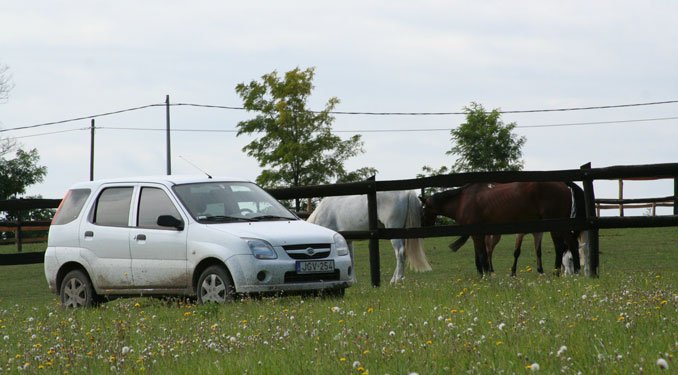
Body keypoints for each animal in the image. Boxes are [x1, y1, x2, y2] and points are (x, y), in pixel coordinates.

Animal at [420, 182, 584, 276]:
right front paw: (484, 273)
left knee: (566, 245)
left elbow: (481, 255)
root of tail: (565, 186)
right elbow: (482, 254)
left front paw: (485, 275)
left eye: (423, 209)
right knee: (566, 245)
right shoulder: (479, 234)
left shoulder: (477, 234)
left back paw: (568, 272)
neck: (463, 200)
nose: (423, 226)